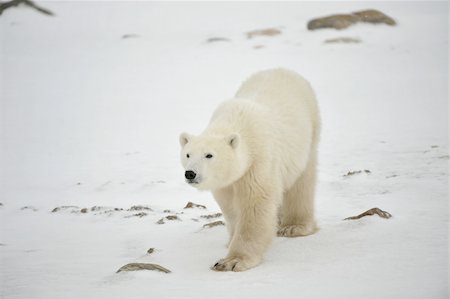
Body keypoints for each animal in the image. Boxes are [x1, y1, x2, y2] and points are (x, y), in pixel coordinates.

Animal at [179, 68, 320, 272]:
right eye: (188, 154)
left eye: (209, 155)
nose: (190, 173)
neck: (236, 121)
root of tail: (282, 70)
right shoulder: (227, 181)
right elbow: (231, 207)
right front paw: (231, 240)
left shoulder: (258, 160)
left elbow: (255, 203)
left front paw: (232, 261)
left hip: (308, 131)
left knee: (301, 182)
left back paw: (294, 226)